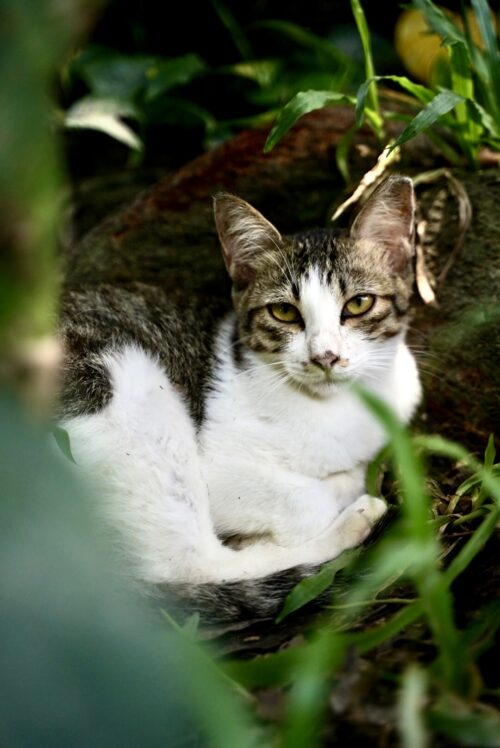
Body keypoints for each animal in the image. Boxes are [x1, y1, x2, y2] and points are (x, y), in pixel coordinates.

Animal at [57, 175, 421, 622]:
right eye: (284, 312)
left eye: (358, 304)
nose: (326, 356)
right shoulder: (217, 471)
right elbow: (307, 499)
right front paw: (340, 489)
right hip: (126, 382)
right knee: (192, 565)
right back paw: (352, 521)